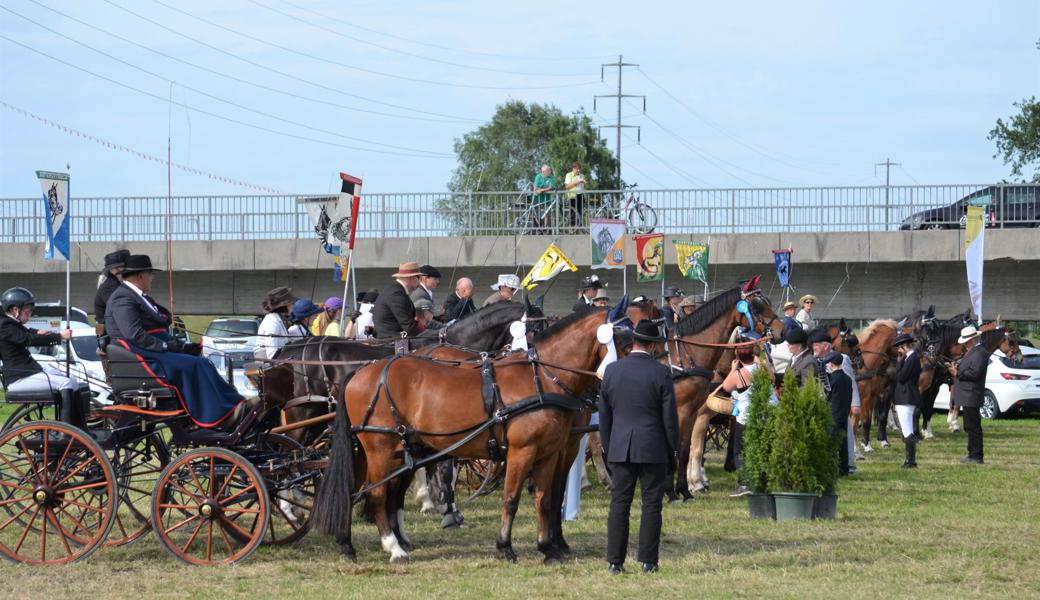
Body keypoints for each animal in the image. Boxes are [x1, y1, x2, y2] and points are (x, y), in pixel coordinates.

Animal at [307, 307, 615, 561]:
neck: (541, 378)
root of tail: (360, 373)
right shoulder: (523, 450)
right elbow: (512, 498)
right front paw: (506, 547)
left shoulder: (550, 451)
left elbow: (546, 498)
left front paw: (550, 547)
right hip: (381, 448)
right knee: (377, 494)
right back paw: (393, 548)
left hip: (384, 449)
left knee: (358, 488)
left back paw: (349, 544)